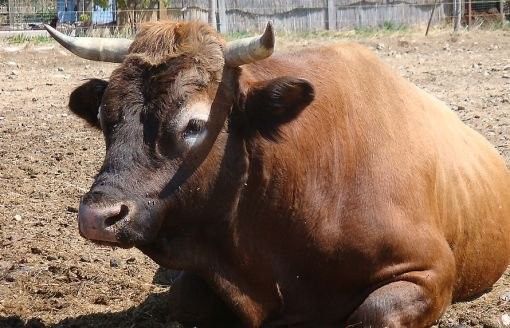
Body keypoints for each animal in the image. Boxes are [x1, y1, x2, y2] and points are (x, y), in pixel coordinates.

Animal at [44, 21, 510, 326]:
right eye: (104, 117)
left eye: (194, 124)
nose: (98, 216)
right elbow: (186, 299)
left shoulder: (431, 269)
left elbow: (374, 313)